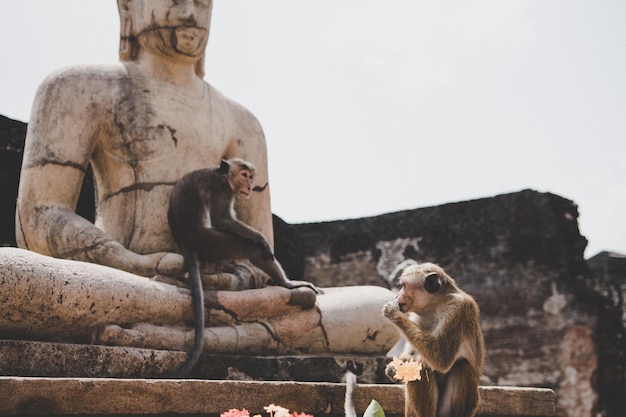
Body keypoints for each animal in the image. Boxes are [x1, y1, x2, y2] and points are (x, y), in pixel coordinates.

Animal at [167, 157, 316, 376]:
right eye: (244, 175)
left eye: (251, 177)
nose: (250, 186)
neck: (223, 176)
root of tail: (185, 239)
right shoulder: (221, 190)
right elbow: (223, 220)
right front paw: (260, 237)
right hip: (211, 242)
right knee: (251, 248)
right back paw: (286, 283)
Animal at [378, 262, 486, 416]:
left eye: (404, 286)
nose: (397, 295)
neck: (435, 306)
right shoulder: (417, 317)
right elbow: (411, 354)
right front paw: (393, 367)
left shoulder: (458, 309)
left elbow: (441, 358)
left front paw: (393, 313)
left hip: (460, 408)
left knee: (458, 364)